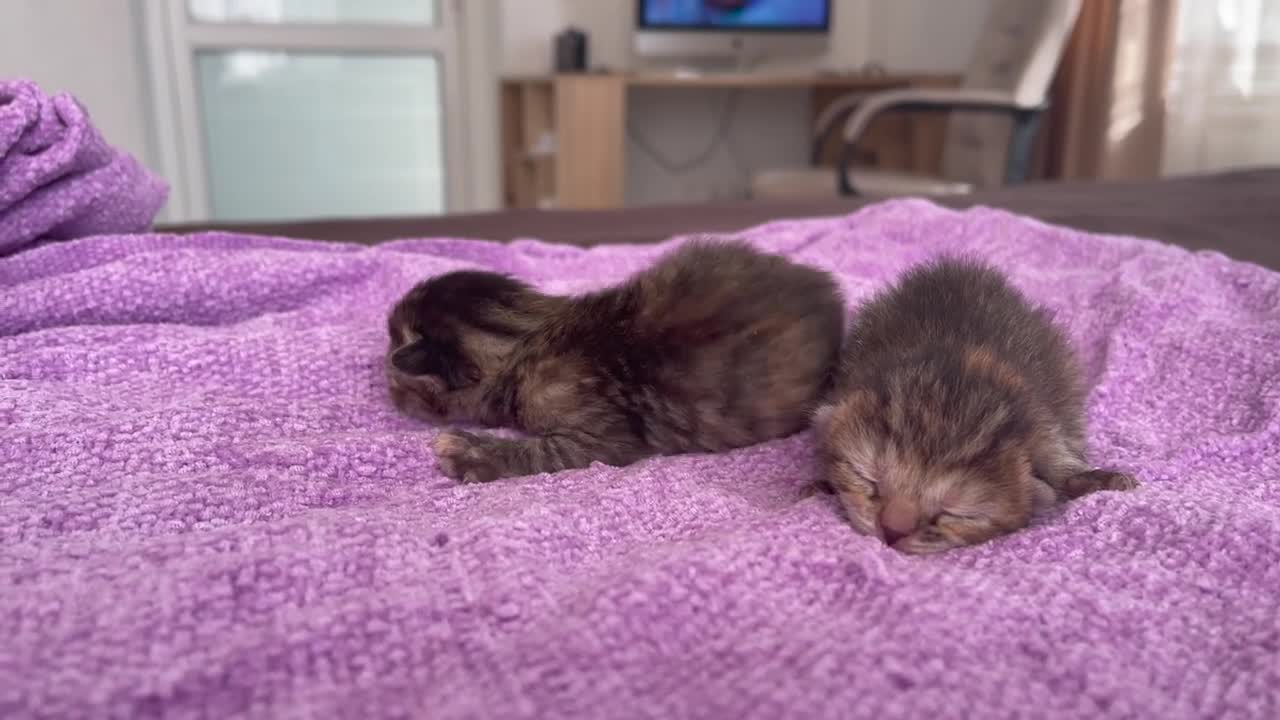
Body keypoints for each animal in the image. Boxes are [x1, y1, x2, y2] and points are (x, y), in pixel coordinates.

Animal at [814, 258, 1136, 556]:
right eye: (868, 478)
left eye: (957, 512)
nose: (892, 531)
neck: (968, 364)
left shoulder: (1042, 420)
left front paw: (1094, 479)